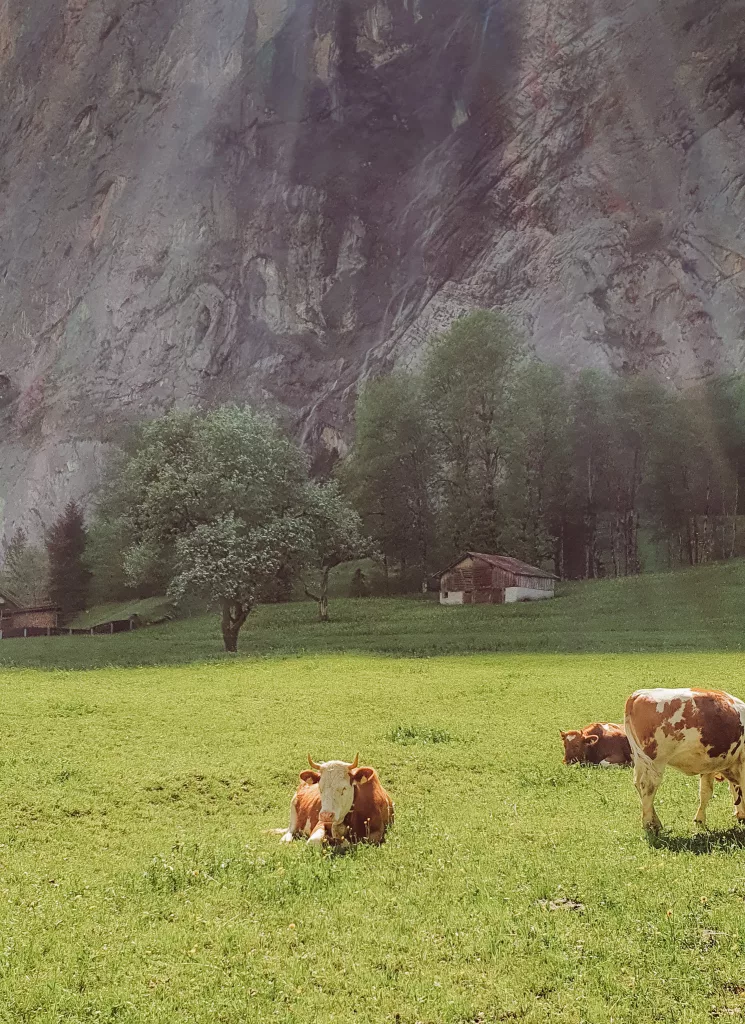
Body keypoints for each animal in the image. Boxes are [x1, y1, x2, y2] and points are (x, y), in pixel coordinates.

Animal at [622, 684, 745, 827]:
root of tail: (638, 694)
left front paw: (700, 820)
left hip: (641, 760)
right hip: (656, 761)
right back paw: (649, 823)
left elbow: (706, 791)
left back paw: (655, 820)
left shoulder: (710, 765)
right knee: (648, 786)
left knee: (638, 784)